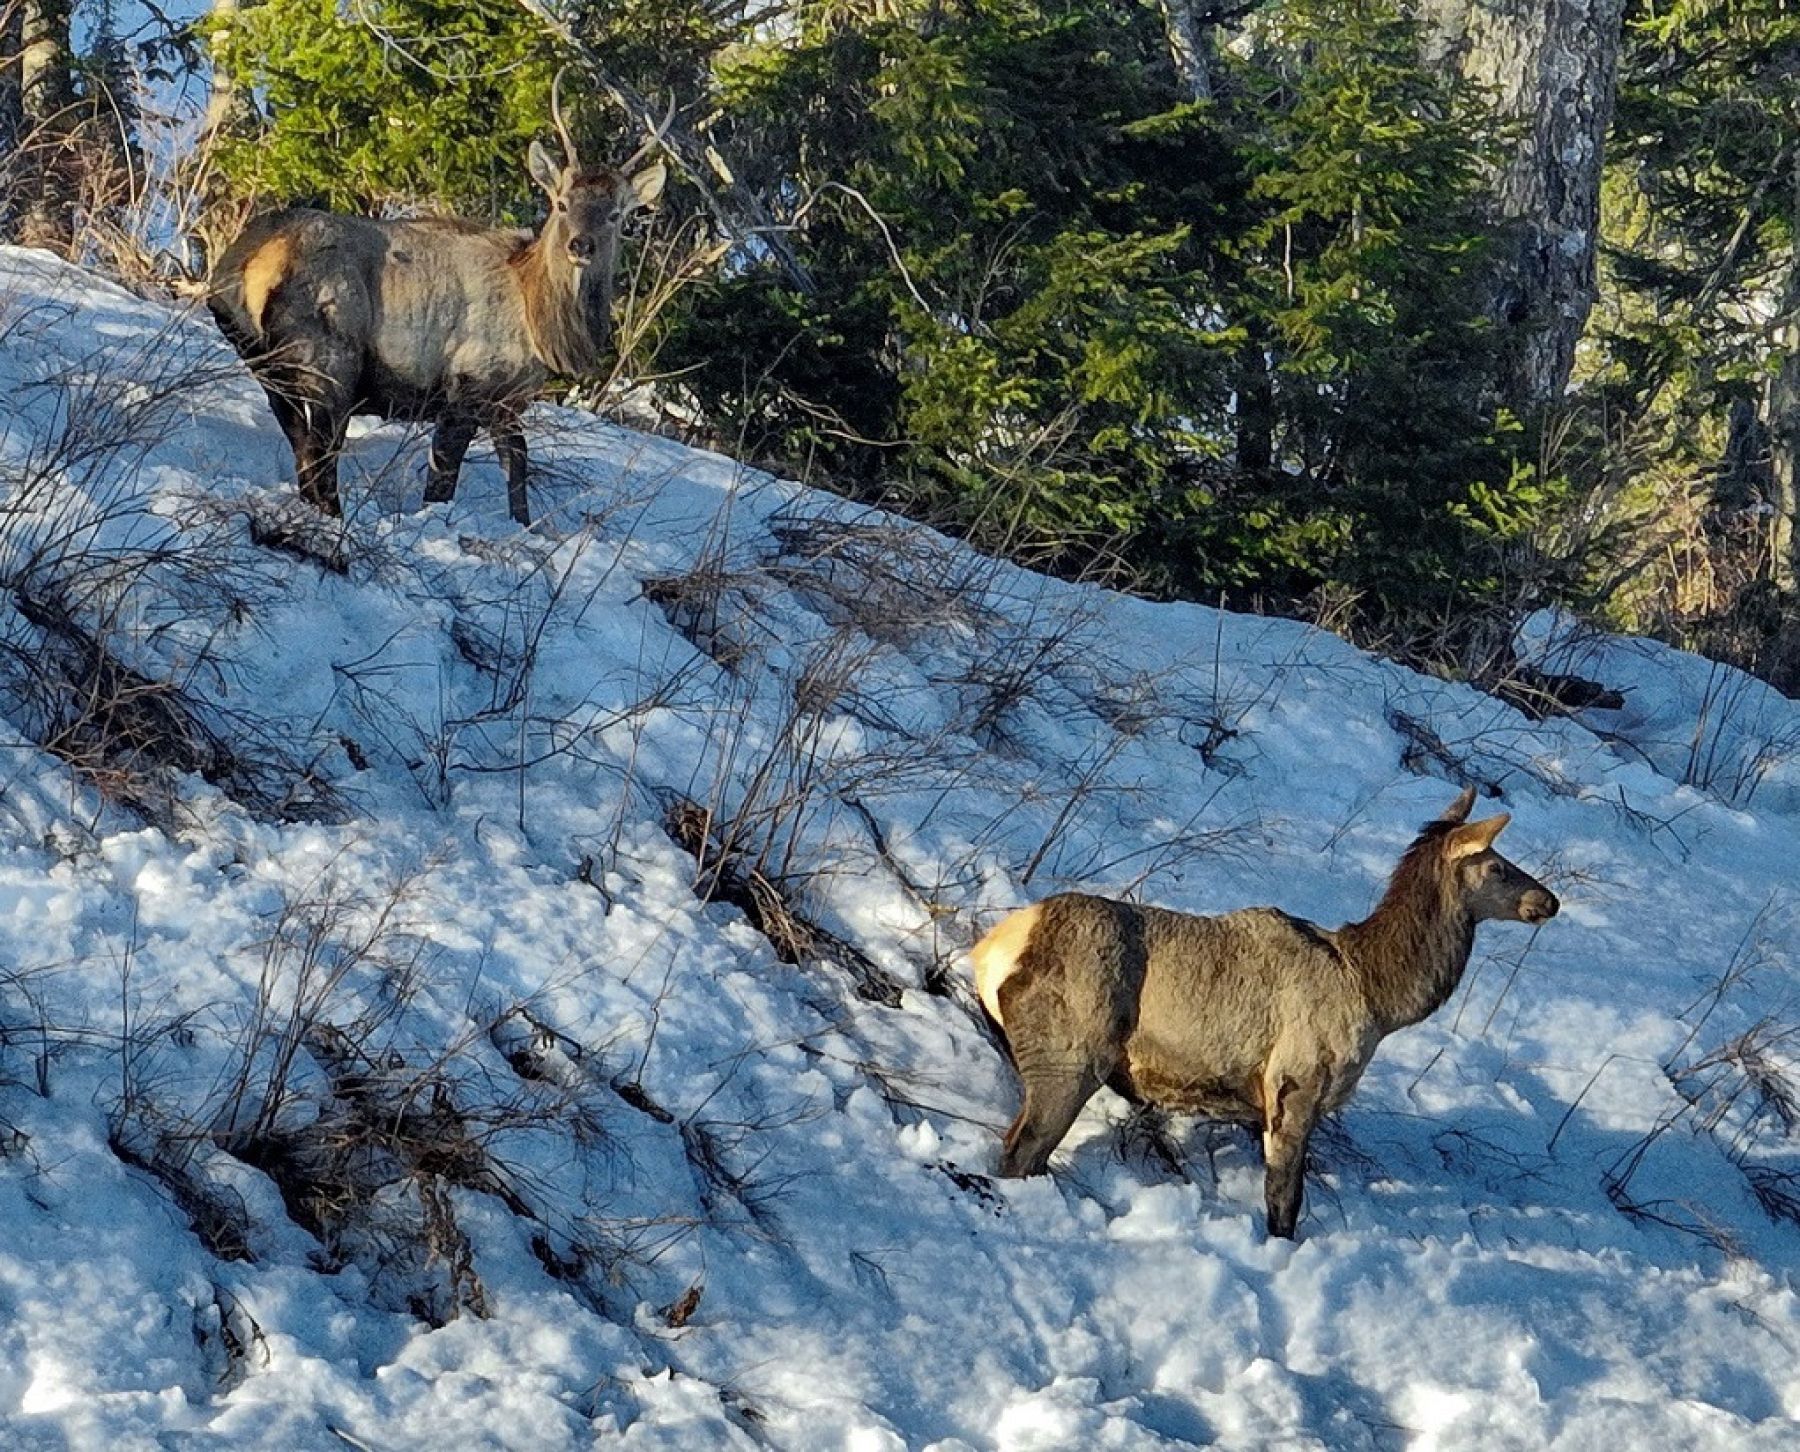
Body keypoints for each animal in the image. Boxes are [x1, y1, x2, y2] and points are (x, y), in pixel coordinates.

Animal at [206, 75, 669, 528]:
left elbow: (517, 463)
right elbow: (443, 479)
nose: (581, 245)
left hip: (264, 360)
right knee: (318, 456)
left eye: (616, 214)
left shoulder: (504, 400)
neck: (539, 325)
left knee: (303, 448)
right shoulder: (467, 383)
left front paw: (524, 525)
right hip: (329, 359)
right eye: (561, 202)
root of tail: (248, 265)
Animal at [972, 788, 1562, 1245]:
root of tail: (988, 952)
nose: (1550, 901)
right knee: (1021, 1149)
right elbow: (1283, 1202)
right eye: (1497, 865)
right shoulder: (1294, 1084)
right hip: (1070, 1053)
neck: (1377, 996)